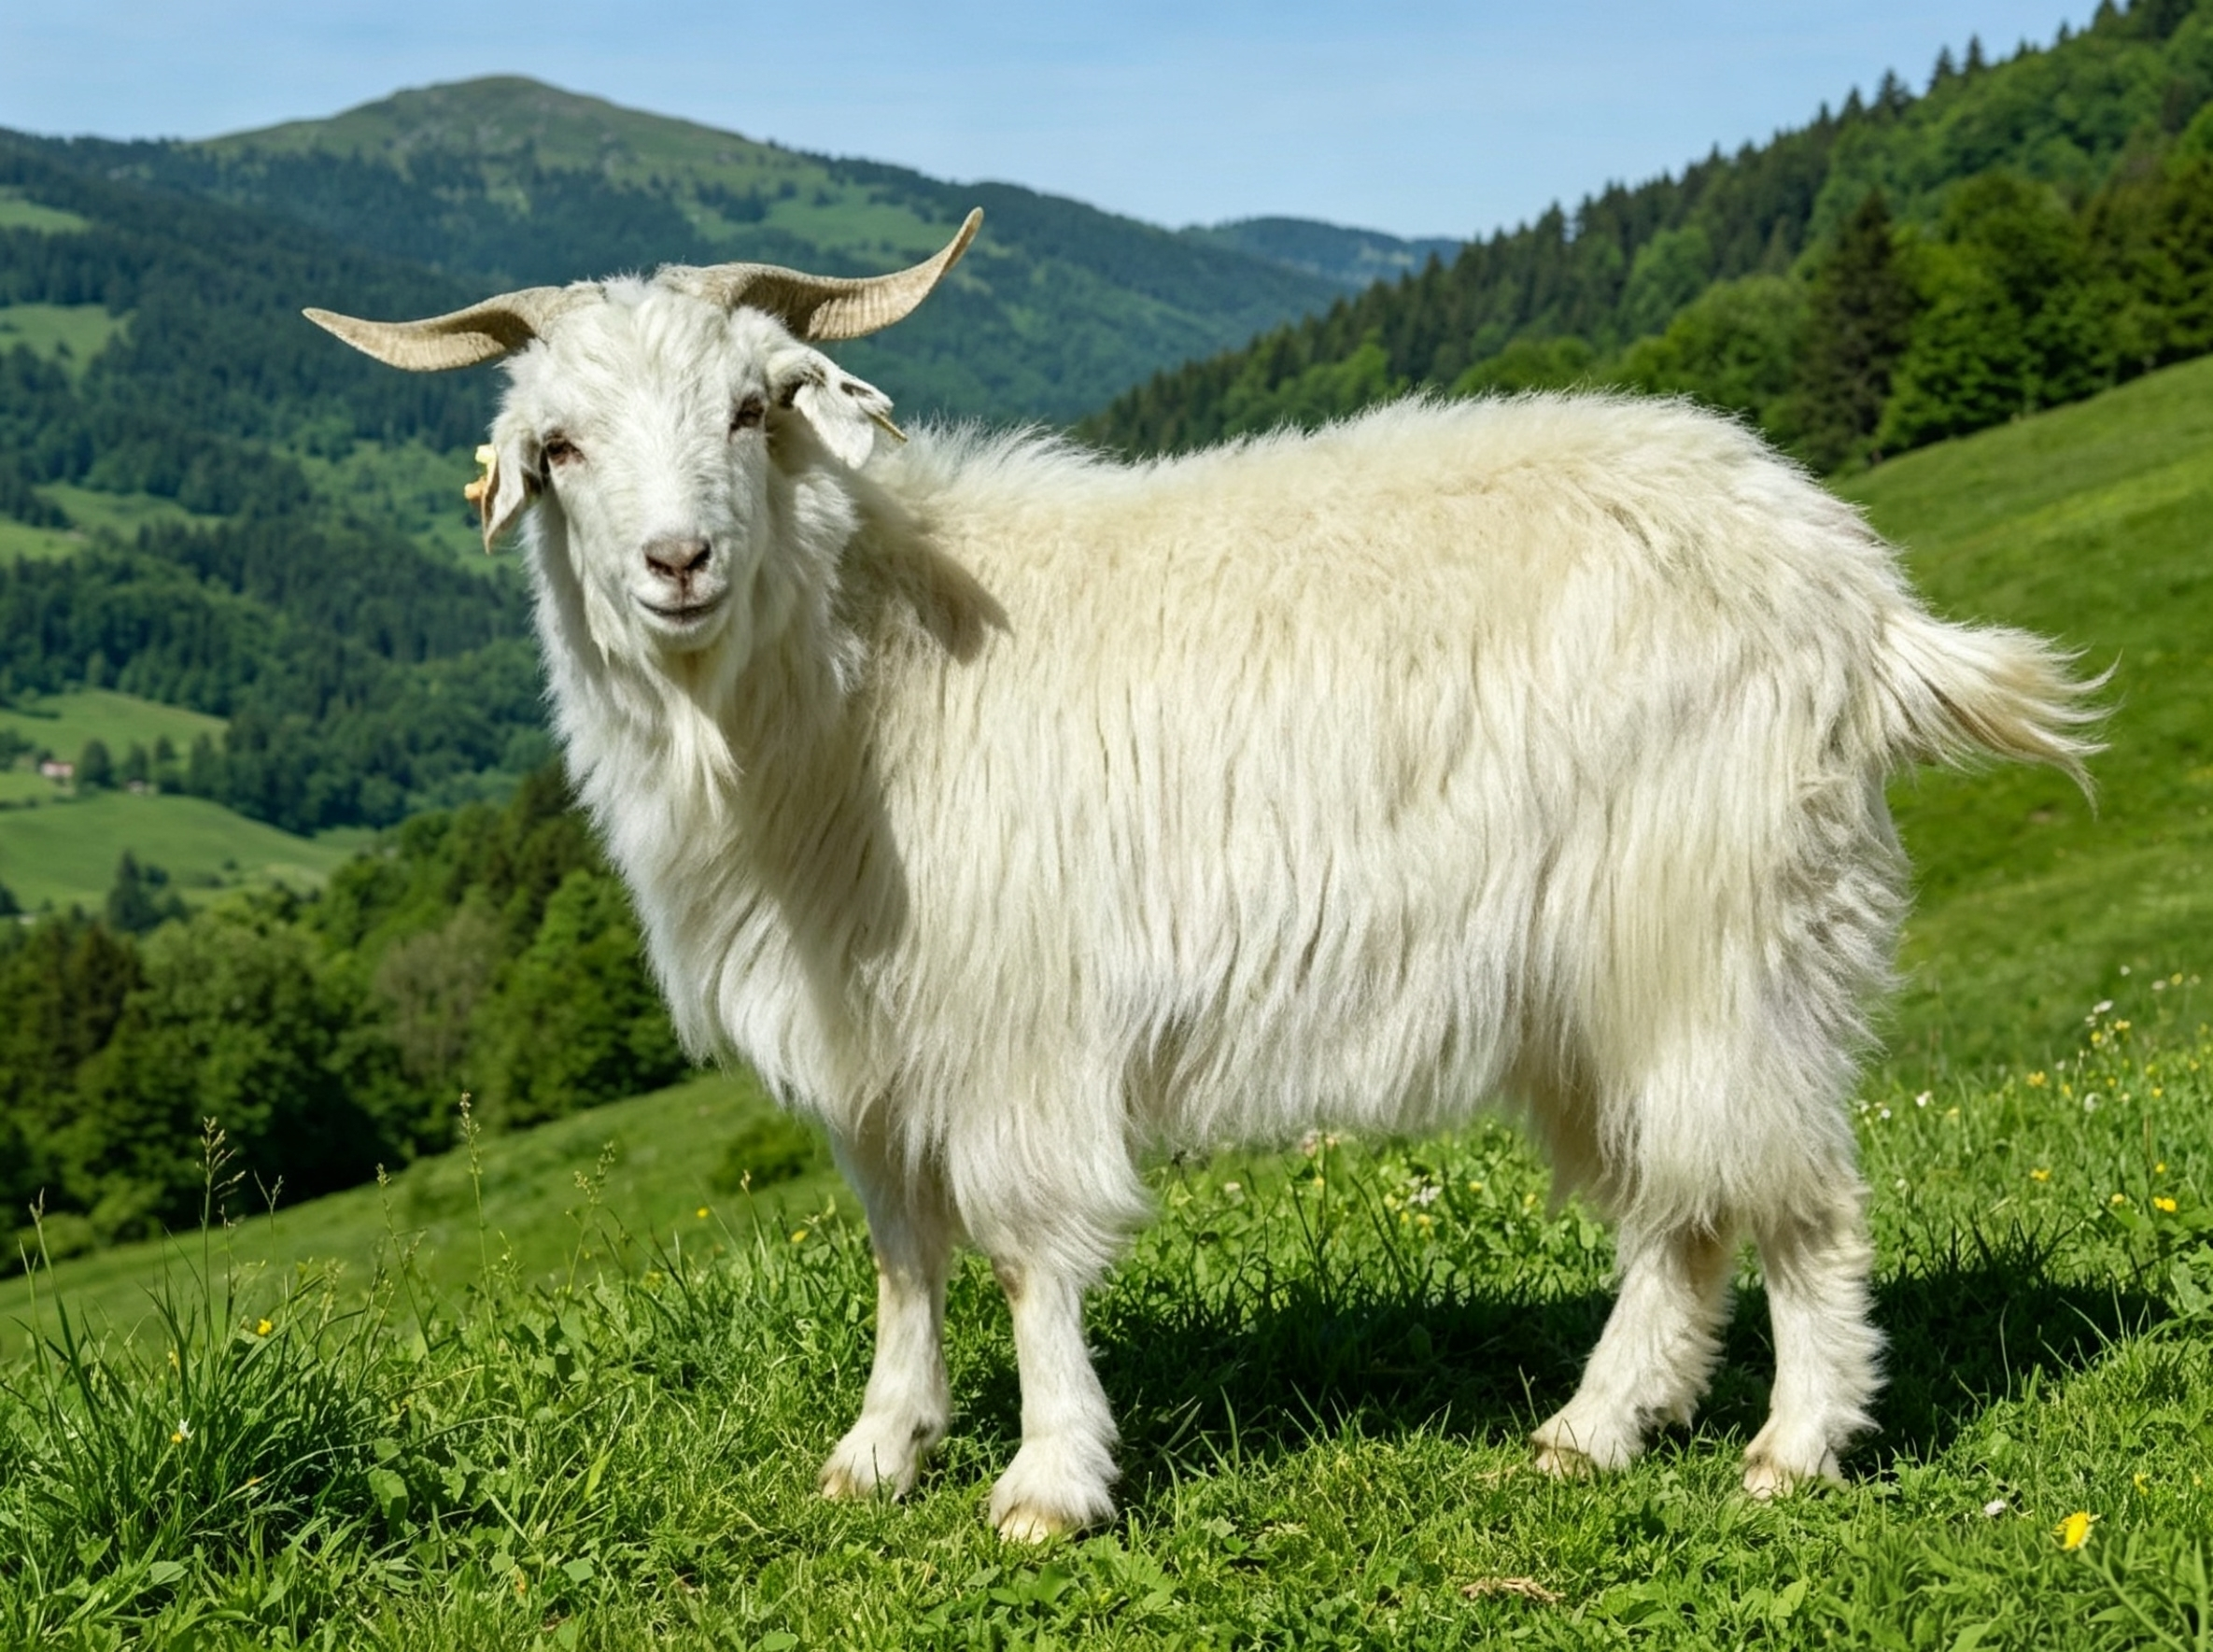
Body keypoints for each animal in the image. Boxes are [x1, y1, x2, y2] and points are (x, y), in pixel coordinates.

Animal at [308, 211, 2097, 1538]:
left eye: (751, 410)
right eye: (556, 445)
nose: (678, 563)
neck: (854, 680)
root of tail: (1855, 592)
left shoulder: (1013, 1018)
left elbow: (1026, 1242)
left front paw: (1046, 1481)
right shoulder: (874, 1048)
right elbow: (901, 1246)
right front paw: (882, 1447)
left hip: (1718, 928)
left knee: (1795, 1190)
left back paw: (1796, 1443)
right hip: (1596, 978)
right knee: (1677, 1202)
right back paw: (1595, 1426)